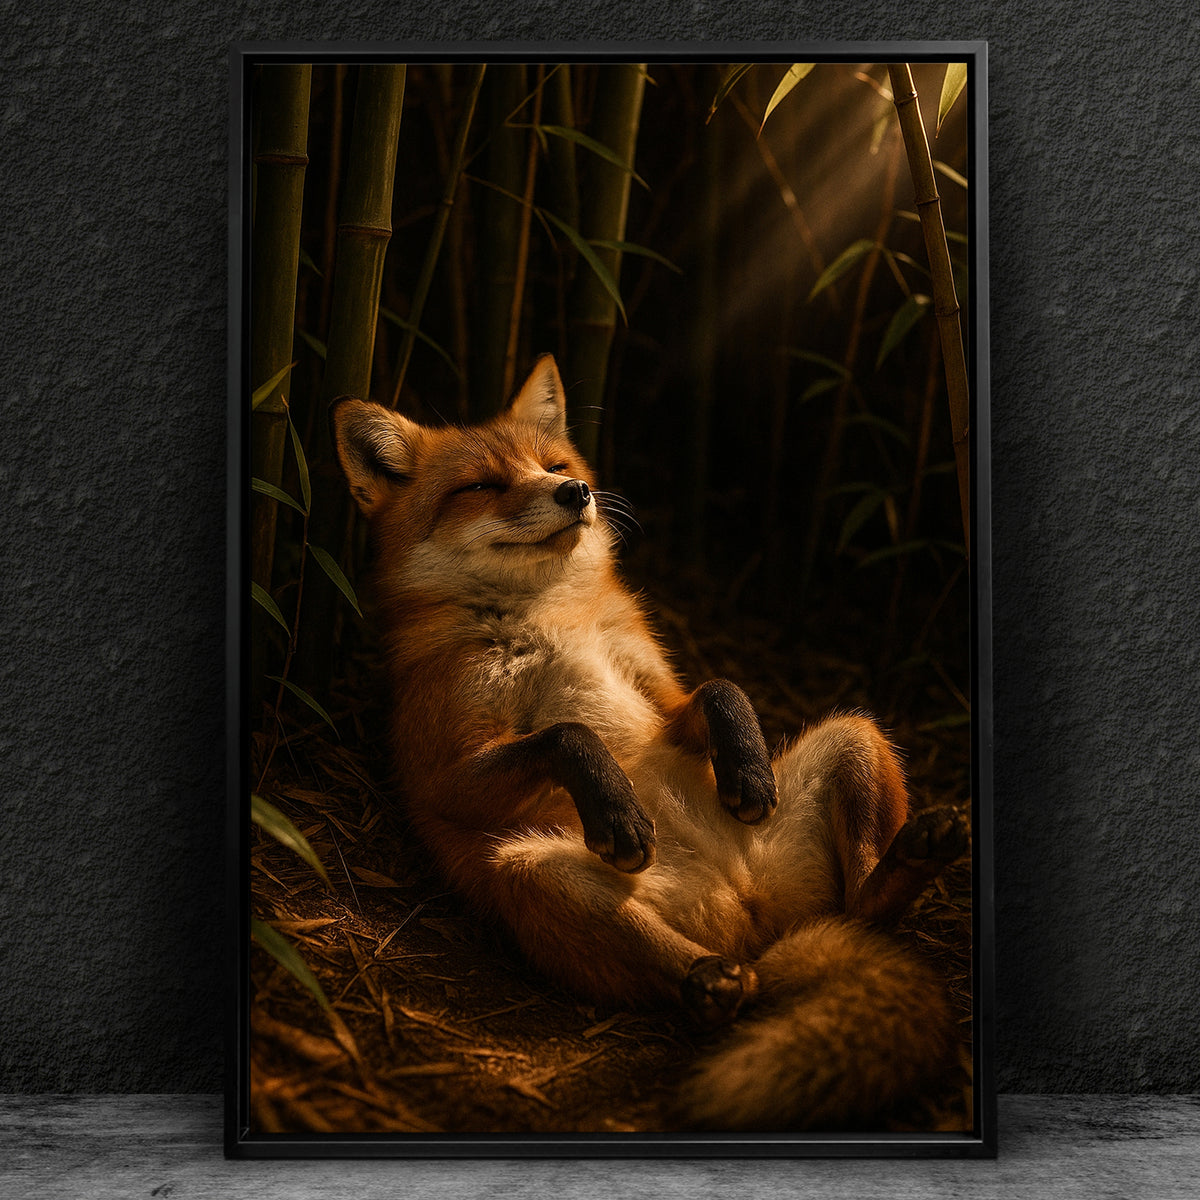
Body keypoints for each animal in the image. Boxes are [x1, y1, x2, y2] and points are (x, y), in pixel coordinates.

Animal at [331, 354, 969, 1131]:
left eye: (555, 465)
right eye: (481, 486)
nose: (575, 492)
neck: (548, 617)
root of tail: (756, 919)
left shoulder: (660, 696)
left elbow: (723, 688)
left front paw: (747, 772)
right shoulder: (444, 768)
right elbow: (570, 732)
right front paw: (620, 812)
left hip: (856, 731)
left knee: (867, 910)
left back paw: (911, 854)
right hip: (529, 871)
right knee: (723, 975)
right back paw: (711, 980)